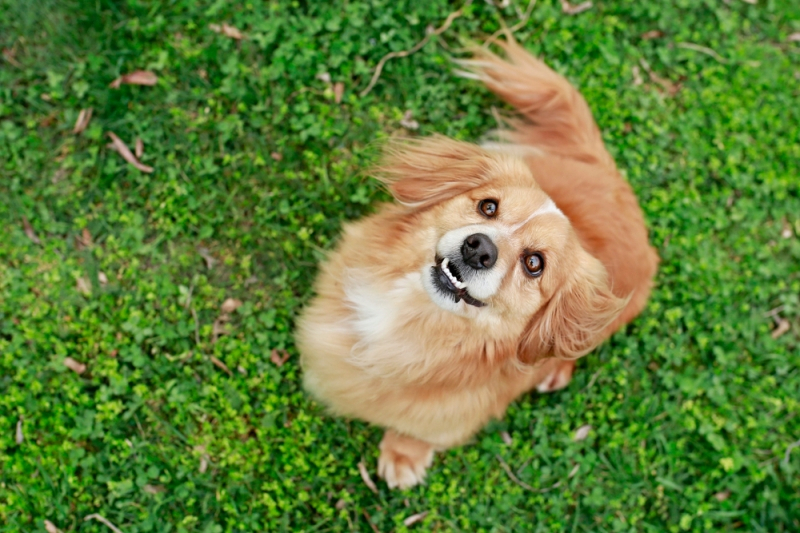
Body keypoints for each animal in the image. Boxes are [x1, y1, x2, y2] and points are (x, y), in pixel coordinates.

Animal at [296, 40, 660, 490]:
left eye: (534, 264)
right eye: (488, 206)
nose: (479, 249)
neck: (410, 318)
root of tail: (612, 177)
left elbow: (417, 429)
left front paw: (403, 454)